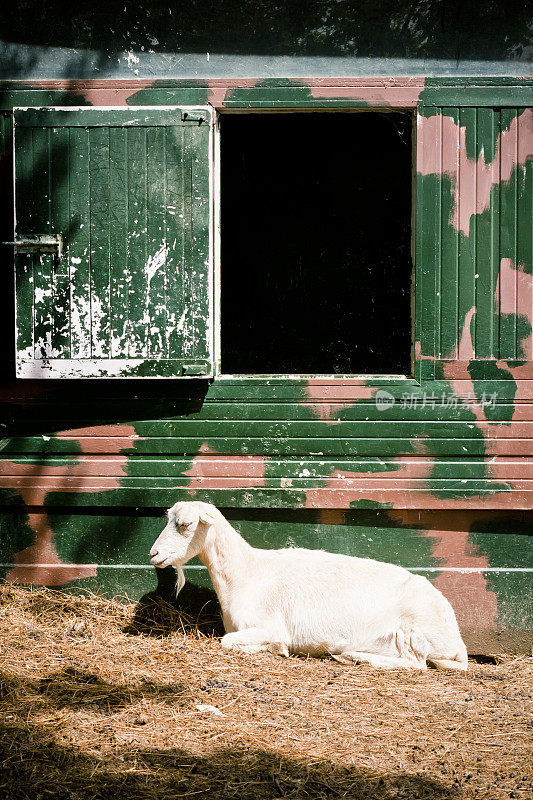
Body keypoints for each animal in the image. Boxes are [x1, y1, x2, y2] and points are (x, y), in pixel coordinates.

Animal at [149, 504, 466, 672]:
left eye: (186, 524)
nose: (153, 554)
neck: (247, 573)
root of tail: (458, 640)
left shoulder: (268, 626)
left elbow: (229, 642)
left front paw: (277, 649)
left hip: (413, 631)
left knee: (416, 663)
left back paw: (351, 655)